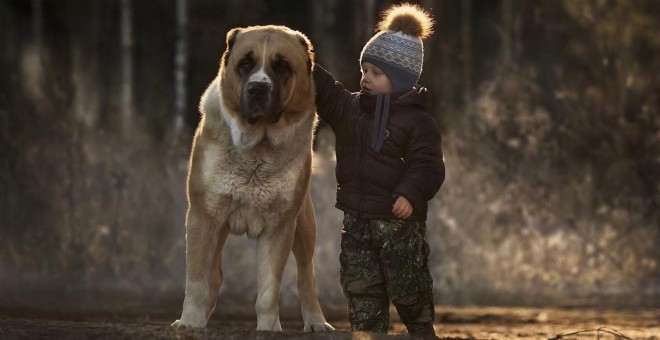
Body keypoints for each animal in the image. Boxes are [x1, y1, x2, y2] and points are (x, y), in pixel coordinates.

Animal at [170, 25, 336, 332]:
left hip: (305, 225)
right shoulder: (202, 217)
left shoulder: (280, 226)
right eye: (245, 64)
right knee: (213, 275)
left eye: (282, 67)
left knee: (306, 276)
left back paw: (317, 322)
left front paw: (269, 328)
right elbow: (197, 280)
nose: (258, 88)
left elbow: (269, 287)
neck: (257, 149)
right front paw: (189, 322)